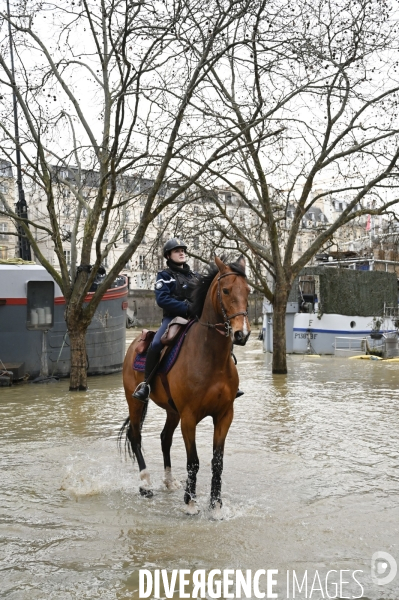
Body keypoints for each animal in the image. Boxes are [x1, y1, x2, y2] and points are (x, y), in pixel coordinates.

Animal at [119, 255, 250, 512]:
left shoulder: (224, 415)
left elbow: (217, 461)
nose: (242, 334)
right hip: (135, 402)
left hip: (172, 411)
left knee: (164, 438)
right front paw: (190, 503)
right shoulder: (189, 417)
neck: (211, 358)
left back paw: (169, 481)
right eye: (226, 290)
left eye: (249, 291)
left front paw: (216, 505)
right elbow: (194, 462)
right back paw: (145, 484)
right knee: (136, 436)